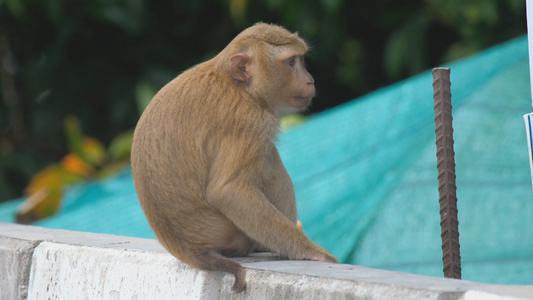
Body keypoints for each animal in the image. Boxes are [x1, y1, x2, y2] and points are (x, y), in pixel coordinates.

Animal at [129, 22, 336, 292]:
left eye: (300, 60)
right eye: (291, 62)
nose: (310, 80)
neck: (238, 84)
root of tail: (195, 252)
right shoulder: (248, 121)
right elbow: (229, 191)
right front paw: (312, 251)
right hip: (232, 237)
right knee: (269, 157)